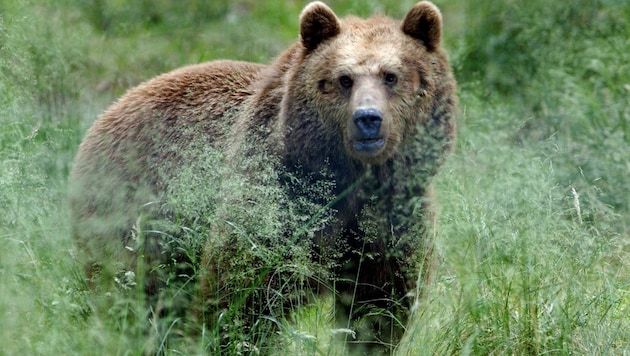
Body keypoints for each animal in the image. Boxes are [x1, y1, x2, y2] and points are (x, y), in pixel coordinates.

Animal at [70, 0, 460, 354]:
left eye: (391, 76)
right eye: (343, 79)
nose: (367, 119)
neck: (348, 180)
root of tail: (109, 111)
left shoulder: (392, 217)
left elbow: (380, 306)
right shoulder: (277, 197)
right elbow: (243, 295)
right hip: (135, 212)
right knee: (129, 291)